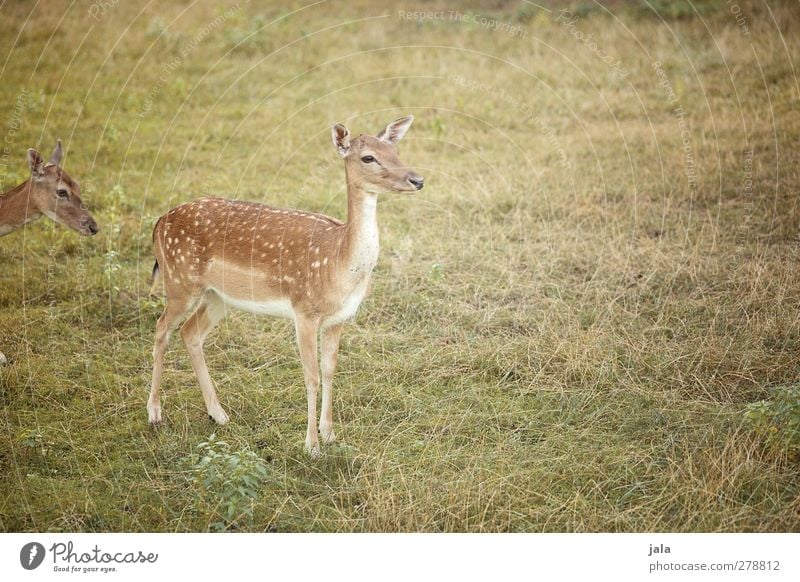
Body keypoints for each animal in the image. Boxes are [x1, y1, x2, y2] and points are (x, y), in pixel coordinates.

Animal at [149, 115, 424, 456]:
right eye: (368, 157)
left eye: (395, 150)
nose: (417, 180)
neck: (338, 263)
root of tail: (159, 222)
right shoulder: (304, 311)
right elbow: (311, 376)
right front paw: (312, 446)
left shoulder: (339, 319)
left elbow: (330, 370)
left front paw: (330, 434)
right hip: (179, 280)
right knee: (162, 328)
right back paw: (155, 414)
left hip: (216, 296)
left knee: (190, 333)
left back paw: (219, 414)